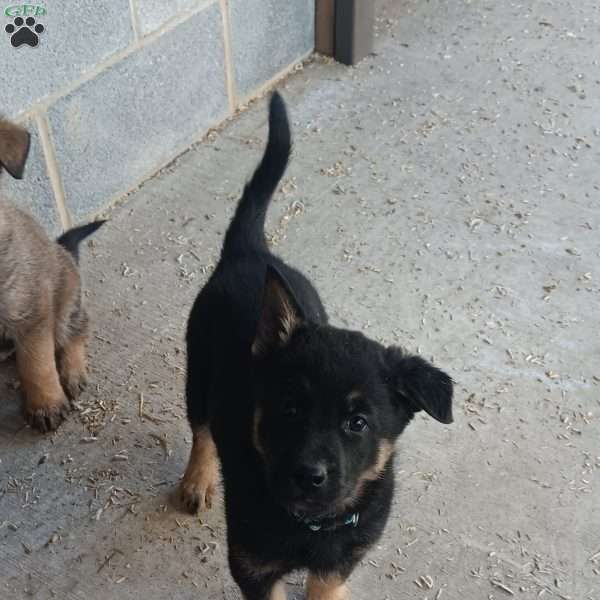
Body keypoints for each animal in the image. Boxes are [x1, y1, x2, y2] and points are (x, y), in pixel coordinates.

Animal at [0, 117, 104, 434]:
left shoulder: (31, 312)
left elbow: (37, 364)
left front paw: (46, 405)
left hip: (66, 304)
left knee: (75, 333)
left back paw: (73, 372)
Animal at [180, 94, 452, 600]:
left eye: (358, 423)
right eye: (290, 409)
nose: (309, 475)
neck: (312, 527)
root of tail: (250, 252)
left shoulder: (339, 562)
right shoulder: (253, 566)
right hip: (198, 370)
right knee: (201, 430)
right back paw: (196, 479)